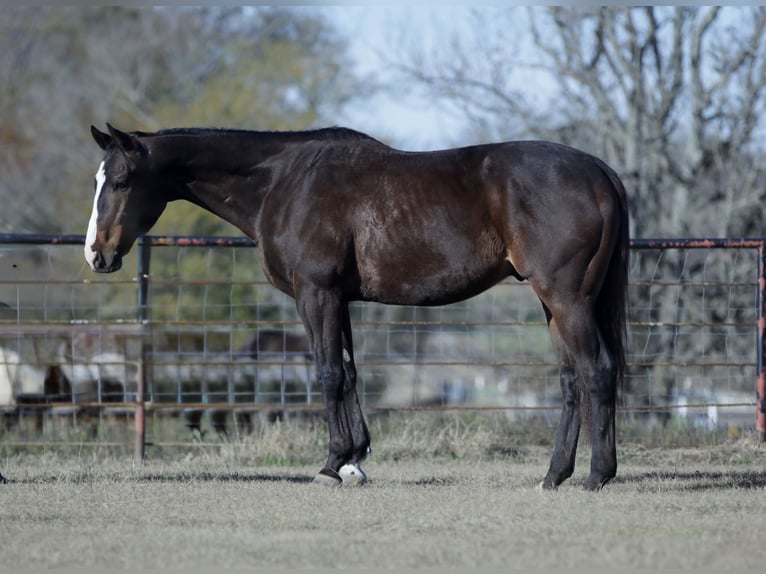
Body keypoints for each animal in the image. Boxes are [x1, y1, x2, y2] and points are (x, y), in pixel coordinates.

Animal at [85, 123, 629, 491]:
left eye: (121, 181)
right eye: (99, 179)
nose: (96, 254)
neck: (283, 181)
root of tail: (599, 172)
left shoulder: (316, 293)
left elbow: (327, 374)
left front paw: (331, 466)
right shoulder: (339, 298)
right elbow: (347, 372)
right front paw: (354, 460)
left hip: (566, 298)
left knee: (596, 371)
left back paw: (596, 477)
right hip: (553, 304)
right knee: (571, 381)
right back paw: (554, 475)